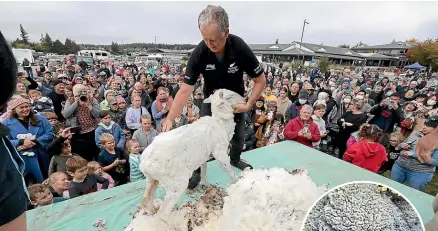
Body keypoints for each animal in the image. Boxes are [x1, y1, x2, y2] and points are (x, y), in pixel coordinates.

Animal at [139, 89, 245, 219]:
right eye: (230, 97)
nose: (245, 100)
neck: (220, 123)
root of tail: (145, 163)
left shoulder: (204, 156)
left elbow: (204, 168)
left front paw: (203, 183)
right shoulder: (220, 152)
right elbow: (229, 170)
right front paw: (237, 182)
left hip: (152, 179)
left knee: (146, 200)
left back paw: (149, 213)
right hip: (176, 183)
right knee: (162, 213)